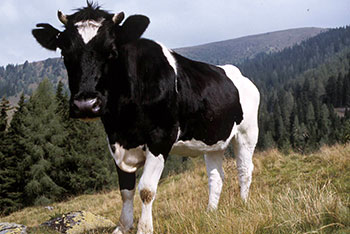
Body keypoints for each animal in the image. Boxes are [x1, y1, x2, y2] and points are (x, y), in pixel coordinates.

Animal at [32, 2, 260, 234]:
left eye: (112, 51)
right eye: (64, 53)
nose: (86, 104)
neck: (123, 121)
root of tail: (237, 73)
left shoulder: (161, 137)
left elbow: (146, 189)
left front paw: (144, 228)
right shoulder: (115, 141)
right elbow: (126, 191)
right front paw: (123, 227)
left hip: (247, 133)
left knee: (244, 169)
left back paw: (243, 204)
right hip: (213, 140)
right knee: (216, 176)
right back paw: (210, 212)